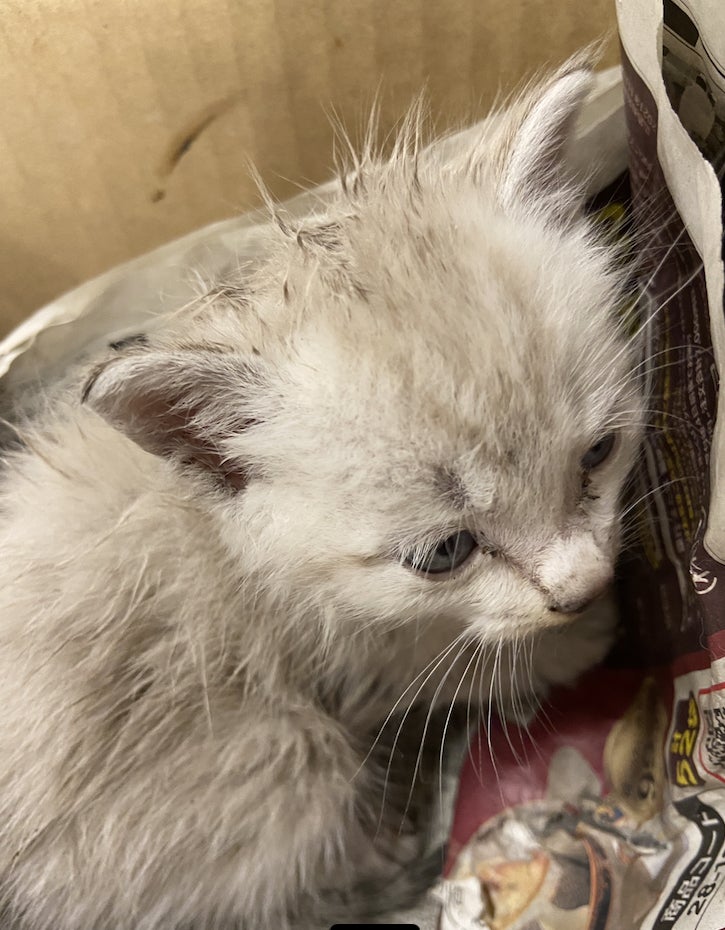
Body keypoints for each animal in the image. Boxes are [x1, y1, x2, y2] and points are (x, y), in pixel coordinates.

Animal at [0, 55, 643, 929]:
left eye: (598, 454)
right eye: (444, 553)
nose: (586, 586)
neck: (225, 540)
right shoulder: (347, 659)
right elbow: (451, 661)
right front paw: (573, 643)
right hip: (286, 760)